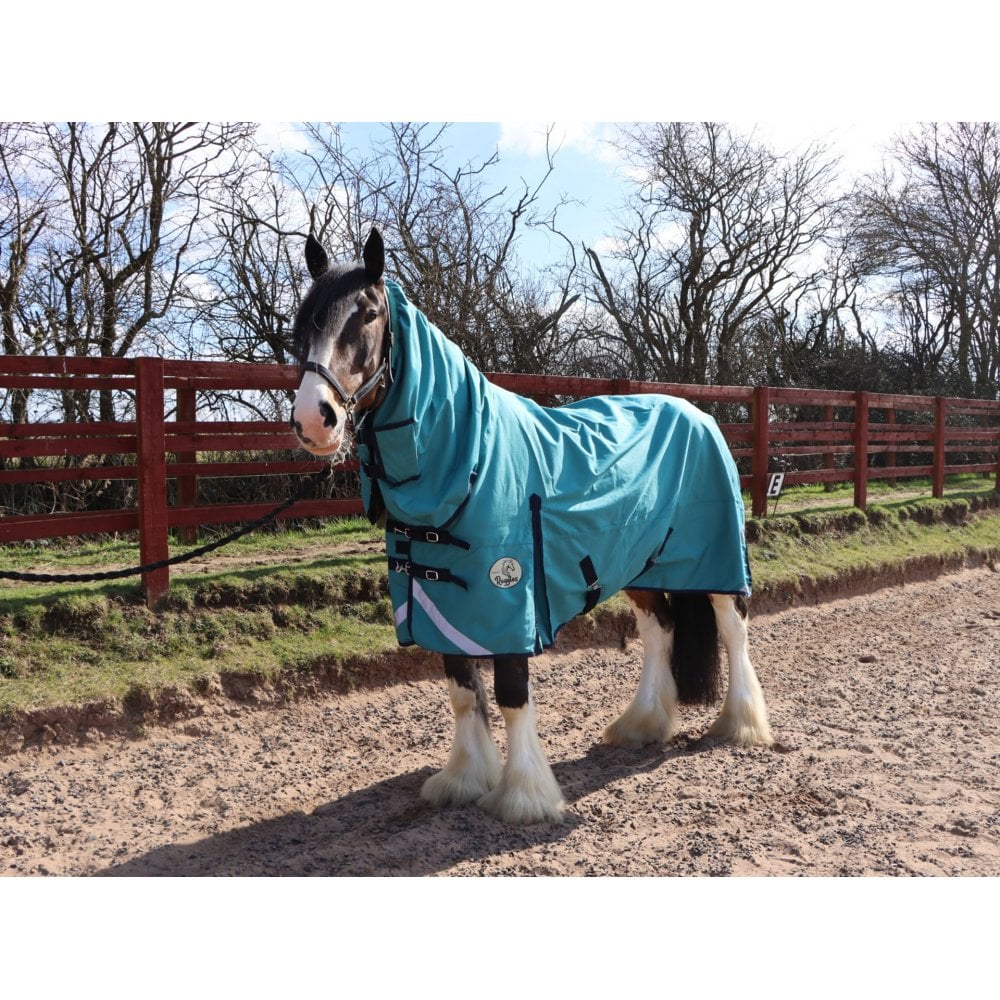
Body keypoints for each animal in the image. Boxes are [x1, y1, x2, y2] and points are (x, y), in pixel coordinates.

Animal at [289, 228, 773, 824]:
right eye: (305, 319)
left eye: (369, 313)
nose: (314, 418)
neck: (469, 458)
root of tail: (698, 413)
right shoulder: (439, 601)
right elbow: (463, 693)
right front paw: (463, 779)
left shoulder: (511, 598)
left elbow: (512, 695)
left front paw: (524, 796)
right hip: (638, 566)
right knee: (660, 631)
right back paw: (641, 723)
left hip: (715, 559)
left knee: (733, 629)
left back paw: (742, 726)